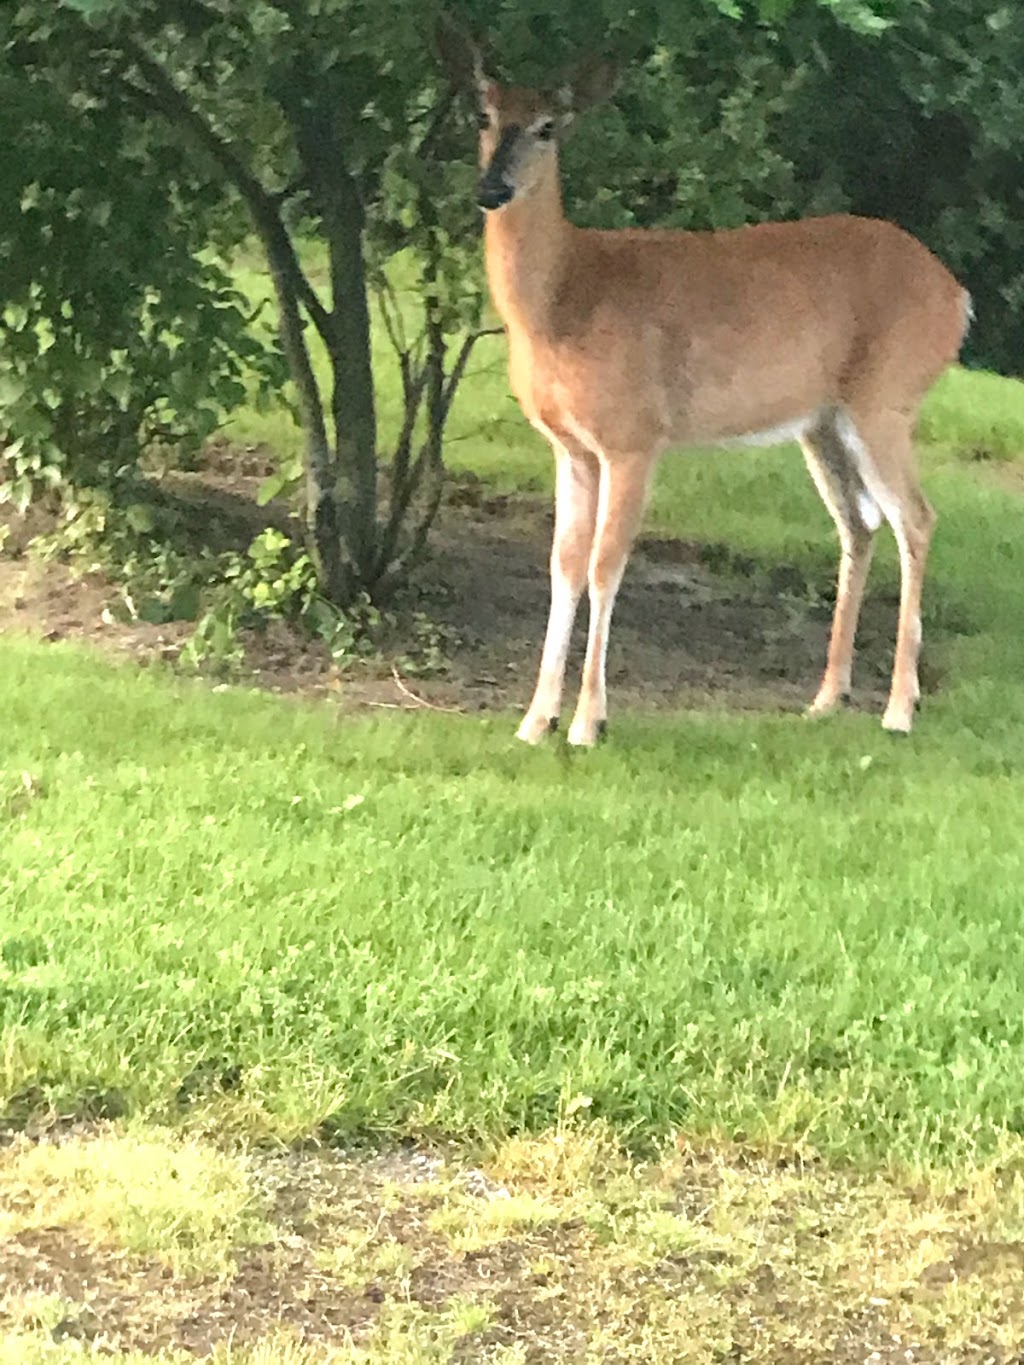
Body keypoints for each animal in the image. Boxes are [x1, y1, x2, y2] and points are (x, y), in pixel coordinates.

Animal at [439, 32, 972, 753]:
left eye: (549, 127)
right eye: (483, 116)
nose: (491, 187)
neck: (566, 298)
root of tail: (957, 298)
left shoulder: (635, 435)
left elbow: (606, 565)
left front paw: (586, 721)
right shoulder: (569, 446)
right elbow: (563, 565)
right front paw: (534, 719)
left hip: (887, 397)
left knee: (914, 518)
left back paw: (898, 709)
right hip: (823, 422)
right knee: (859, 524)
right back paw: (826, 698)